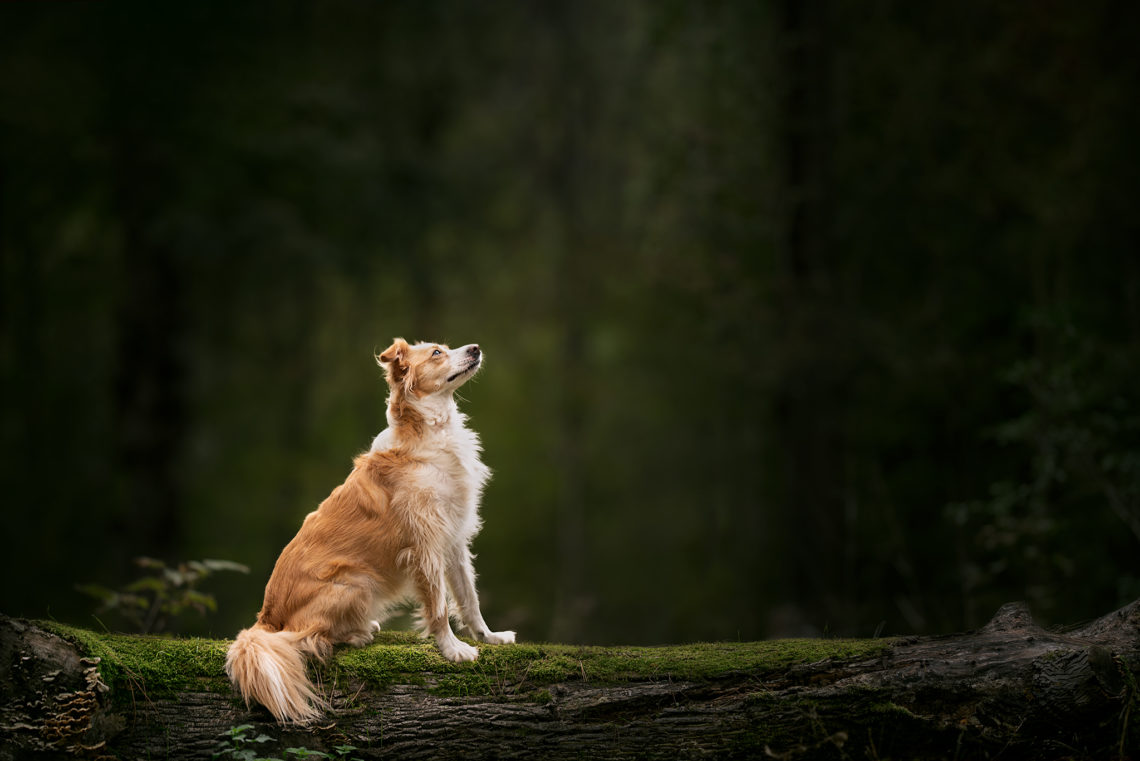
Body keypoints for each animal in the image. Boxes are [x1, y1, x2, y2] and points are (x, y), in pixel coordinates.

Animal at [223, 339, 517, 724]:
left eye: (446, 346)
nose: (475, 348)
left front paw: (489, 636)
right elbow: (438, 606)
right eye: (437, 353)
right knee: (302, 639)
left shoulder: (454, 539)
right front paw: (453, 649)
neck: (432, 430)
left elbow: (469, 598)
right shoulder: (424, 546)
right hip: (357, 581)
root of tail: (266, 617)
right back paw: (358, 634)